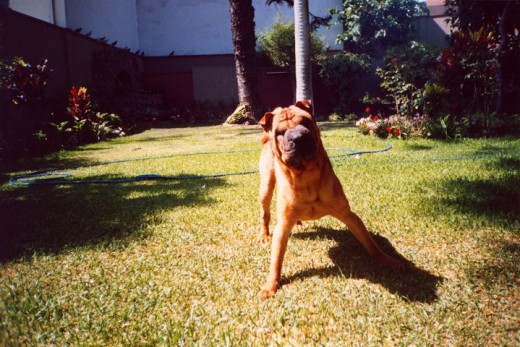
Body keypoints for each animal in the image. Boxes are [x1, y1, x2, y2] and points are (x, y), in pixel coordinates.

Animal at [258, 100, 402, 300]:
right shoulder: (283, 225)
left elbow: (370, 244)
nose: (298, 137)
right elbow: (276, 260)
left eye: (305, 121)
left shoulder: (349, 215)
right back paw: (264, 235)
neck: (306, 177)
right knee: (264, 214)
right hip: (265, 188)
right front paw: (271, 285)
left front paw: (387, 260)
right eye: (280, 132)